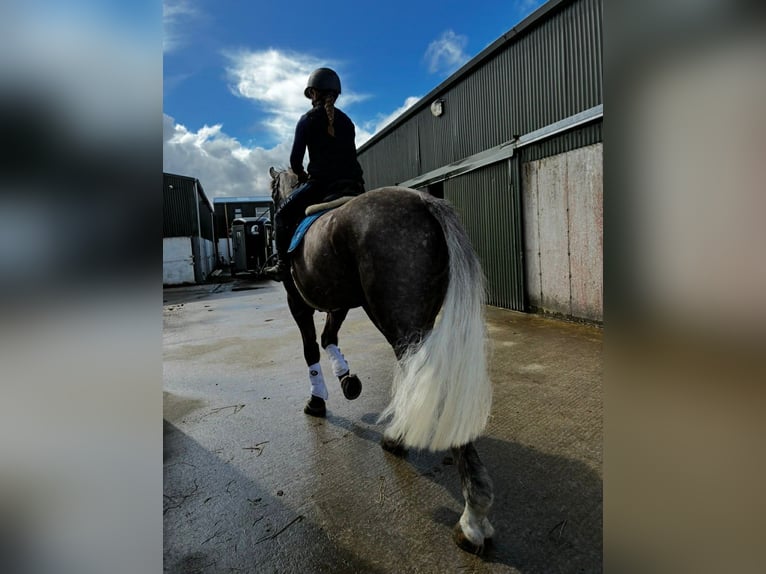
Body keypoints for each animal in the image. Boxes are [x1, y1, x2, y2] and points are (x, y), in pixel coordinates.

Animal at [268, 167, 495, 554]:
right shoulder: (340, 302)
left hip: (397, 322)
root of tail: (425, 202)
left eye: (270, 193)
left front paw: (317, 400)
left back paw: (471, 518)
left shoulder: (297, 302)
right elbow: (329, 338)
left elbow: (311, 347)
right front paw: (347, 379)